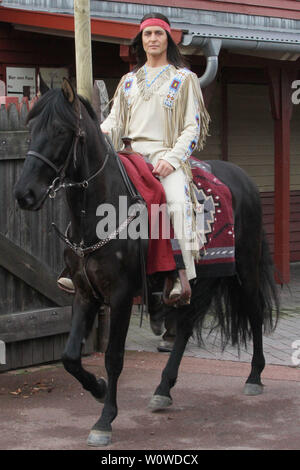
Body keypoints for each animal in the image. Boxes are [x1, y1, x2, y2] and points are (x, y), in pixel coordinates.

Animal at [14, 79, 278, 446]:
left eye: (59, 131)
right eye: (31, 128)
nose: (24, 194)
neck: (101, 210)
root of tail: (245, 179)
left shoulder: (122, 295)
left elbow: (113, 357)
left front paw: (105, 420)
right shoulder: (85, 293)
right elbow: (69, 356)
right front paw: (98, 389)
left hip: (246, 271)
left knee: (254, 313)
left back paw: (254, 377)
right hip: (198, 281)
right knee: (185, 326)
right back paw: (163, 389)